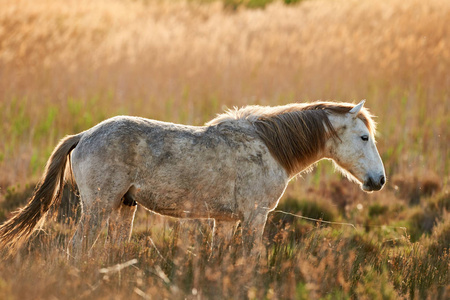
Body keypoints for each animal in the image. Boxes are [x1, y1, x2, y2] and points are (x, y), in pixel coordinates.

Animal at [0, 99, 386, 258]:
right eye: (364, 137)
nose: (379, 180)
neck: (268, 147)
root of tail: (83, 135)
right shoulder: (255, 216)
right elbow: (251, 260)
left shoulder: (226, 221)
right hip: (98, 207)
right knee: (78, 249)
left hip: (124, 207)